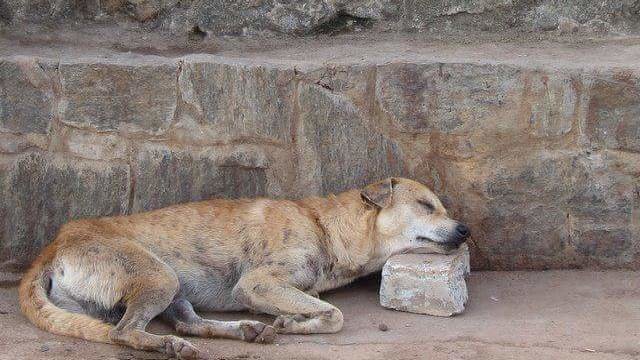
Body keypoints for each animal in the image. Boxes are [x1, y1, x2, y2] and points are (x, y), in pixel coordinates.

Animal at [20, 177, 470, 358]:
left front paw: (291, 320)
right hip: (159, 276)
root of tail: (54, 244)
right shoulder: (256, 284)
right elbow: (335, 314)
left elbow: (320, 305)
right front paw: (295, 324)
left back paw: (244, 331)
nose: (466, 230)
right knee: (123, 332)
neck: (324, 226)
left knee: (189, 324)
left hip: (175, 288)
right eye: (426, 205)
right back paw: (166, 345)